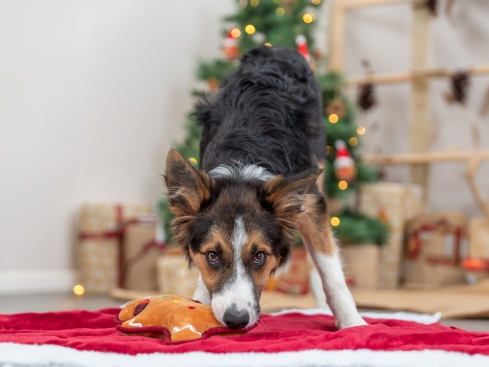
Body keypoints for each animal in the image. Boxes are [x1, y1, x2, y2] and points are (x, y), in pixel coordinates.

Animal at [165, 45, 366, 330]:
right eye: (212, 255)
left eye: (260, 256)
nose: (236, 320)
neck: (243, 164)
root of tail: (275, 48)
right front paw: (199, 304)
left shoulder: (311, 202)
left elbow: (331, 271)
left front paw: (353, 325)